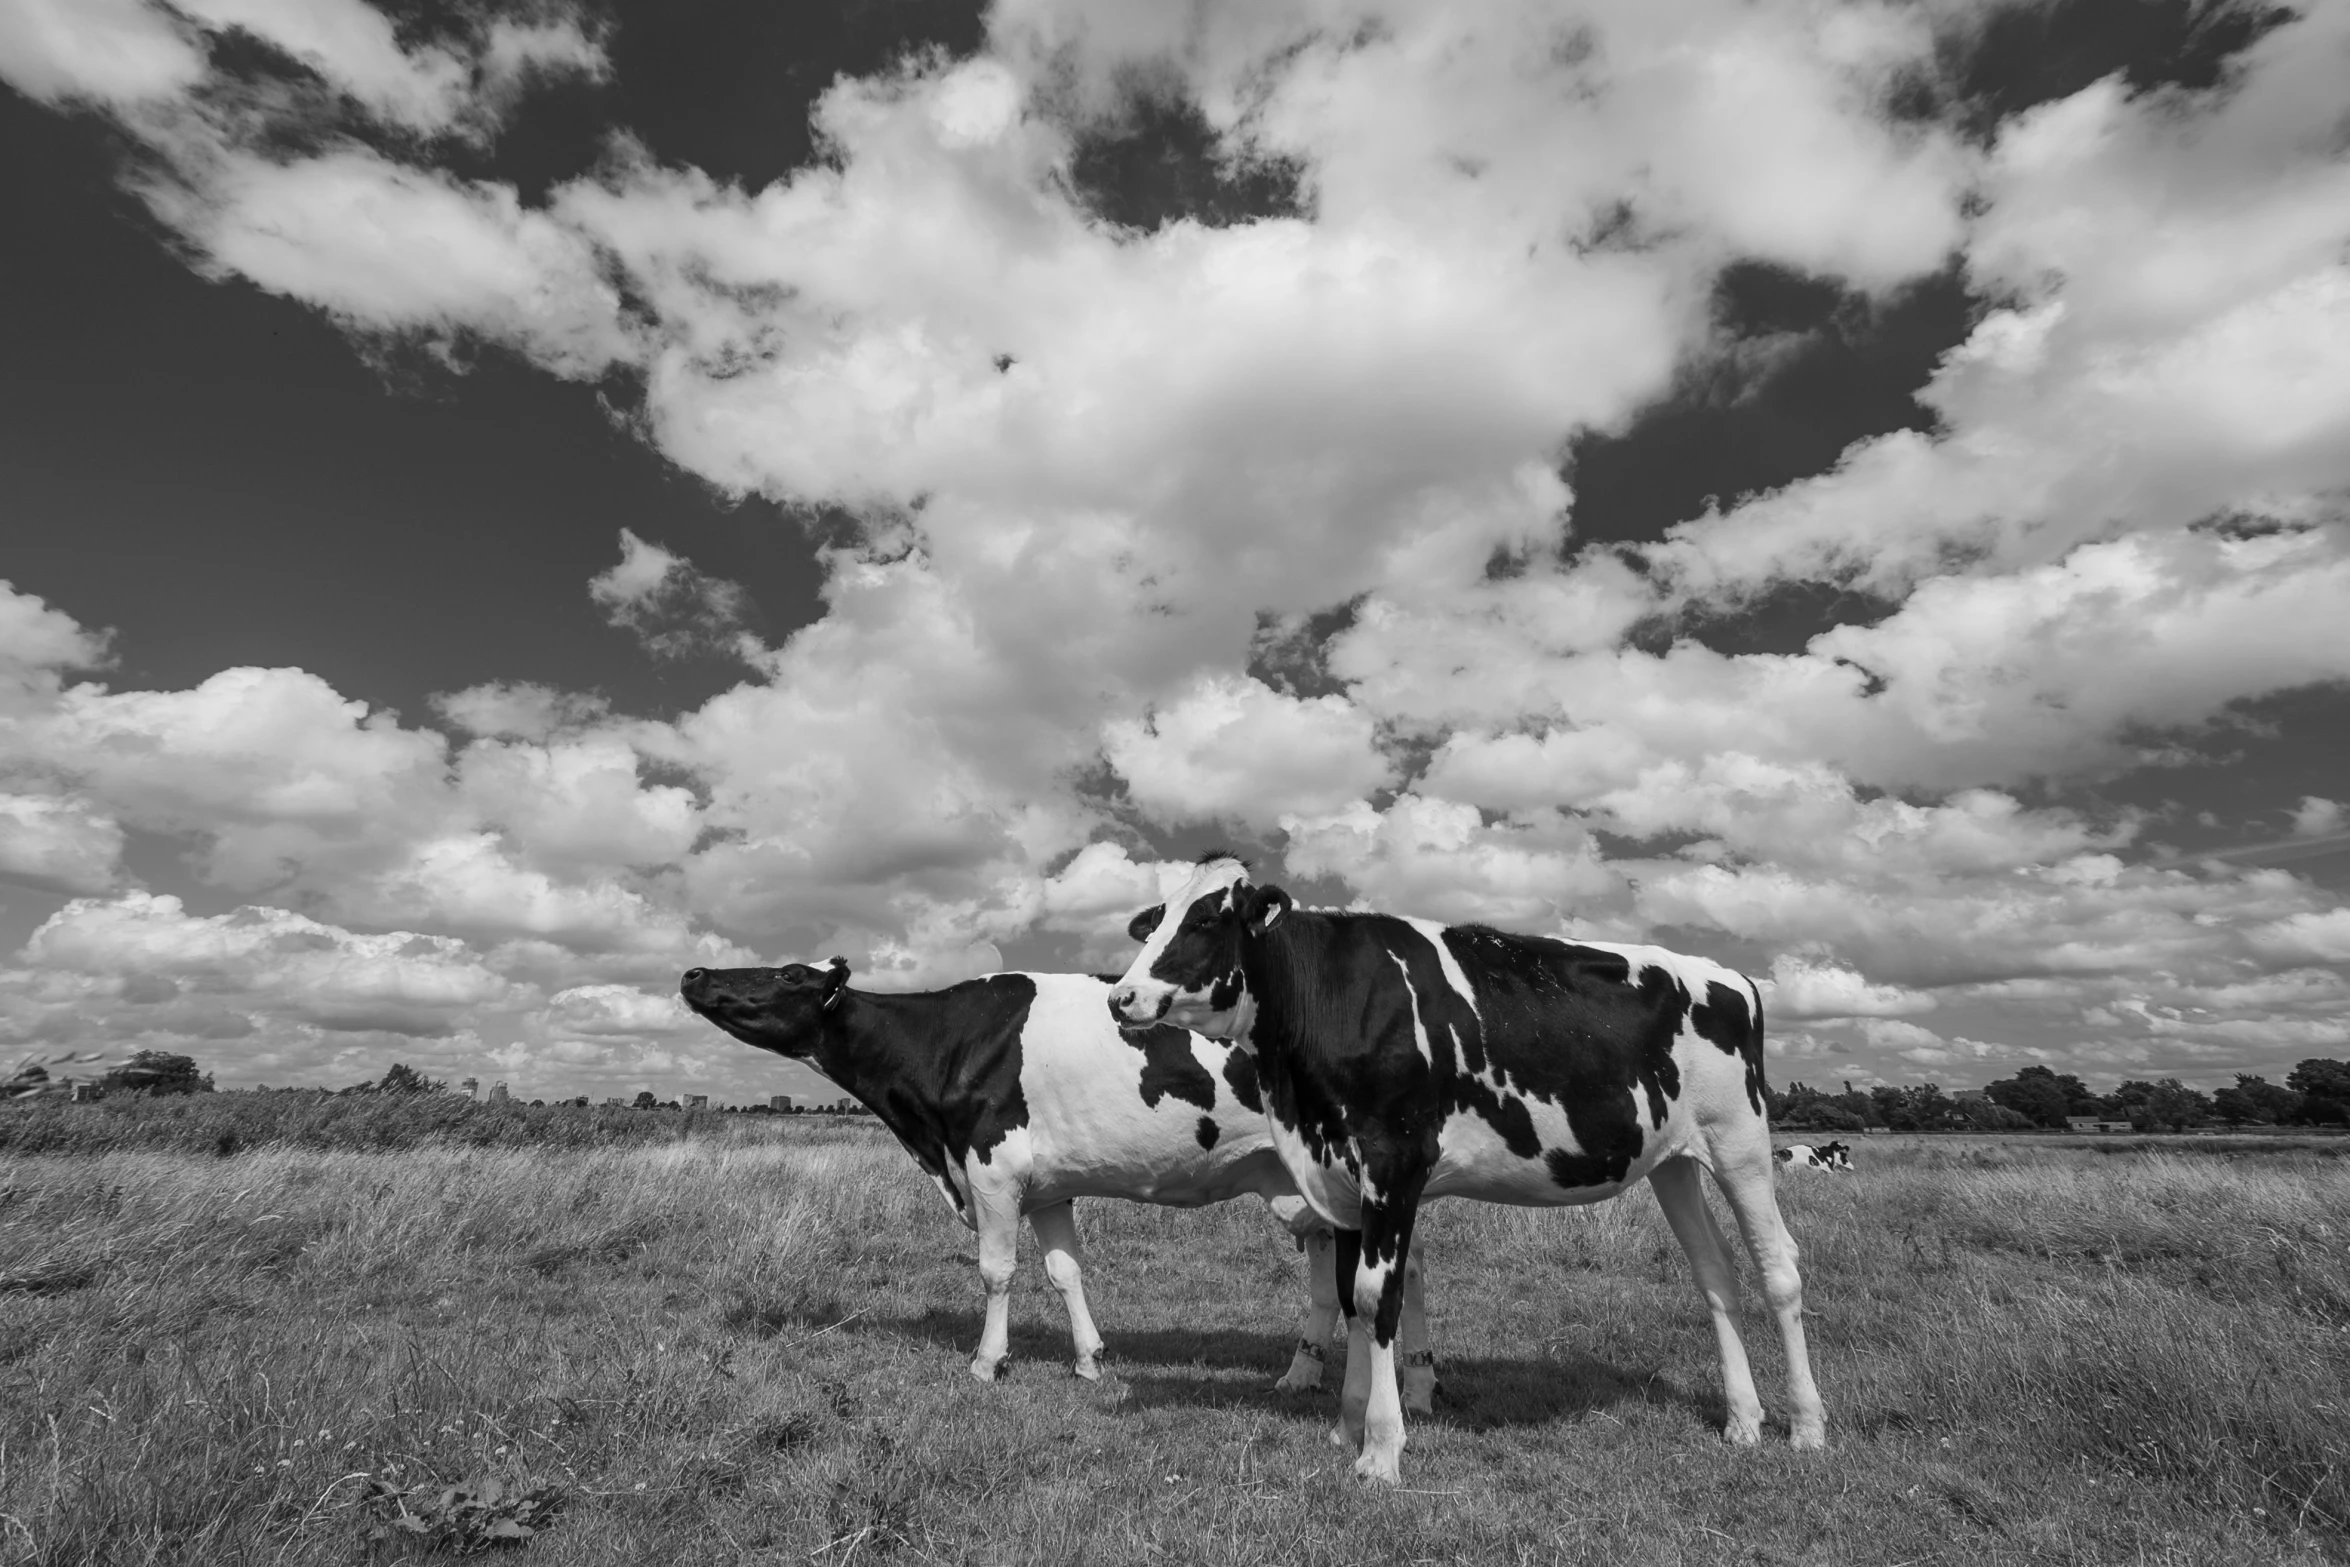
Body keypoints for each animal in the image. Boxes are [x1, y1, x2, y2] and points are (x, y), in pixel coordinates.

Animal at [681, 963, 1428, 1400]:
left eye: (788, 974)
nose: (693, 970)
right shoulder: (1047, 1186)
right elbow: (1065, 1270)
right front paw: (1091, 1358)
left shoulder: (992, 1168)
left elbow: (997, 1271)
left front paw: (987, 1362)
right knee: (1385, 1270)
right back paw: (1340, 1377)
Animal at [1109, 859, 1823, 1484]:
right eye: (1158, 920)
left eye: (1208, 919)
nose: (1122, 997)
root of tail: (1729, 976)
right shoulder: (1340, 1177)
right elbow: (1349, 1297)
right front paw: (1347, 1425)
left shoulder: (1395, 1164)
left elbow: (1377, 1297)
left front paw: (1381, 1450)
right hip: (1674, 1160)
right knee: (1715, 1272)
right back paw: (1743, 1421)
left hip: (1741, 1140)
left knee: (1778, 1267)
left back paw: (1807, 1426)